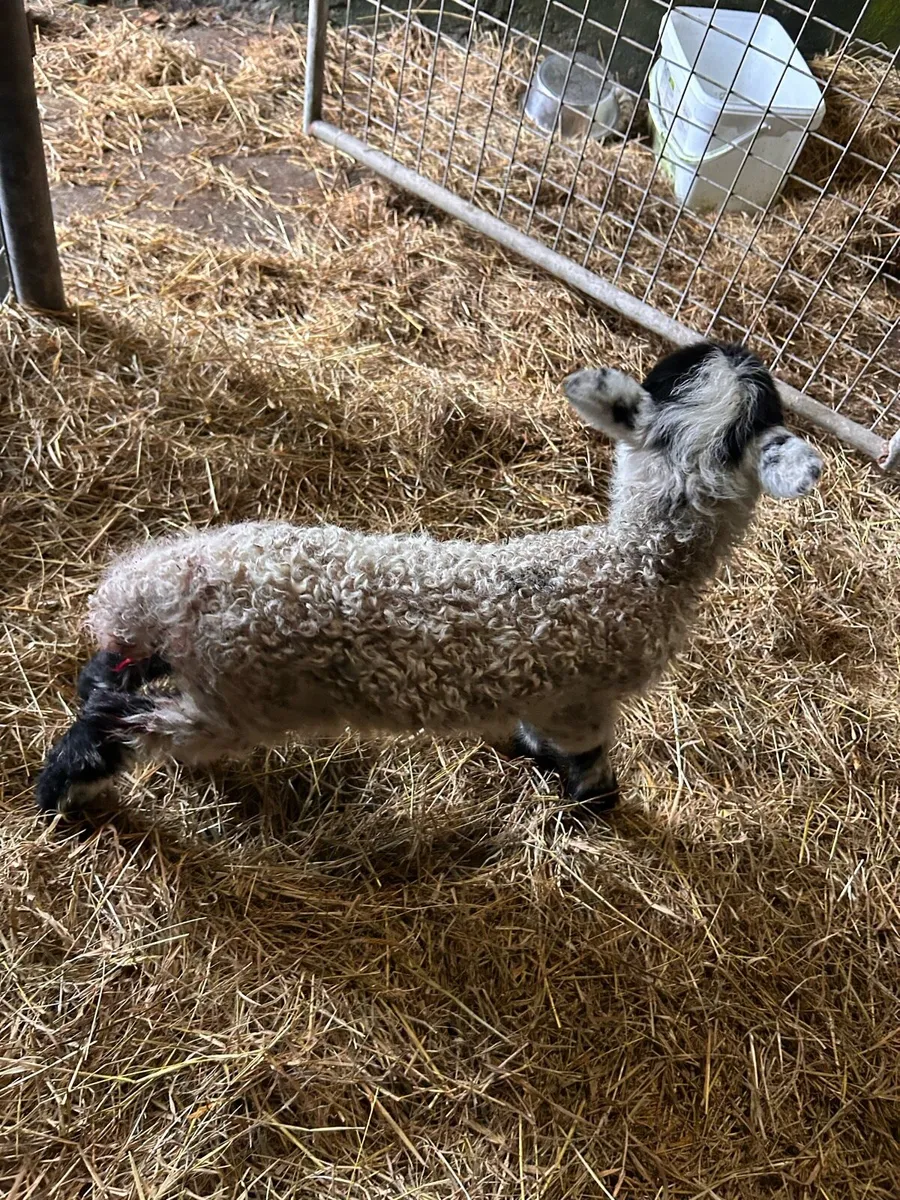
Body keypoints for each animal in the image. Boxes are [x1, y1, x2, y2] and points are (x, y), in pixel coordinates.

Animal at [36, 340, 823, 825]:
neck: (636, 562)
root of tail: (165, 586)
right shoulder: (584, 699)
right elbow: (587, 755)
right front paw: (596, 804)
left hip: (182, 656)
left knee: (104, 678)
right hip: (235, 700)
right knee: (131, 722)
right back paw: (62, 791)